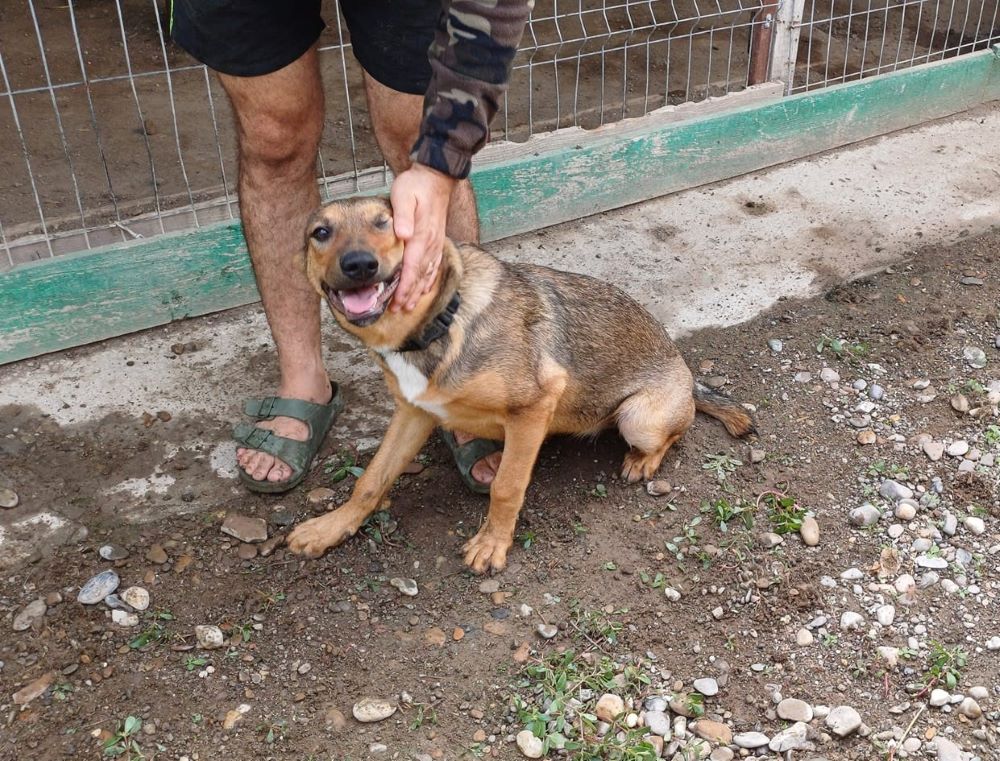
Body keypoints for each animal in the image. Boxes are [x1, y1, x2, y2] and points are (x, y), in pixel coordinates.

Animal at [286, 196, 752, 568]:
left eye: (388, 224)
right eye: (321, 233)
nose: (359, 264)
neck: (442, 323)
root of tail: (686, 373)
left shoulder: (533, 407)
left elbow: (507, 487)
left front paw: (492, 545)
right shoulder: (413, 413)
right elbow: (371, 480)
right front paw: (331, 527)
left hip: (637, 418)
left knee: (674, 434)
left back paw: (643, 461)